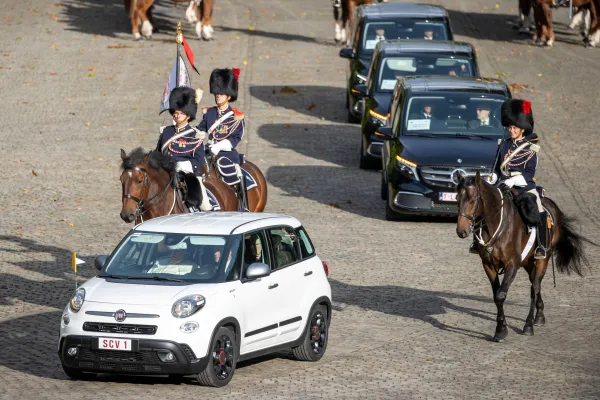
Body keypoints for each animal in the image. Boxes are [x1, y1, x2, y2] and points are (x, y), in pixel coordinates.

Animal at [458, 173, 592, 342]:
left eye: (472, 200)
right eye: (457, 198)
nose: (461, 231)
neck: (494, 225)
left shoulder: (512, 264)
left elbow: (501, 295)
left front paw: (501, 329)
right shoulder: (488, 265)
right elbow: (496, 295)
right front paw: (501, 329)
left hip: (543, 259)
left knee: (534, 287)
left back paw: (529, 325)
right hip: (528, 262)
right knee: (535, 283)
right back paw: (539, 315)